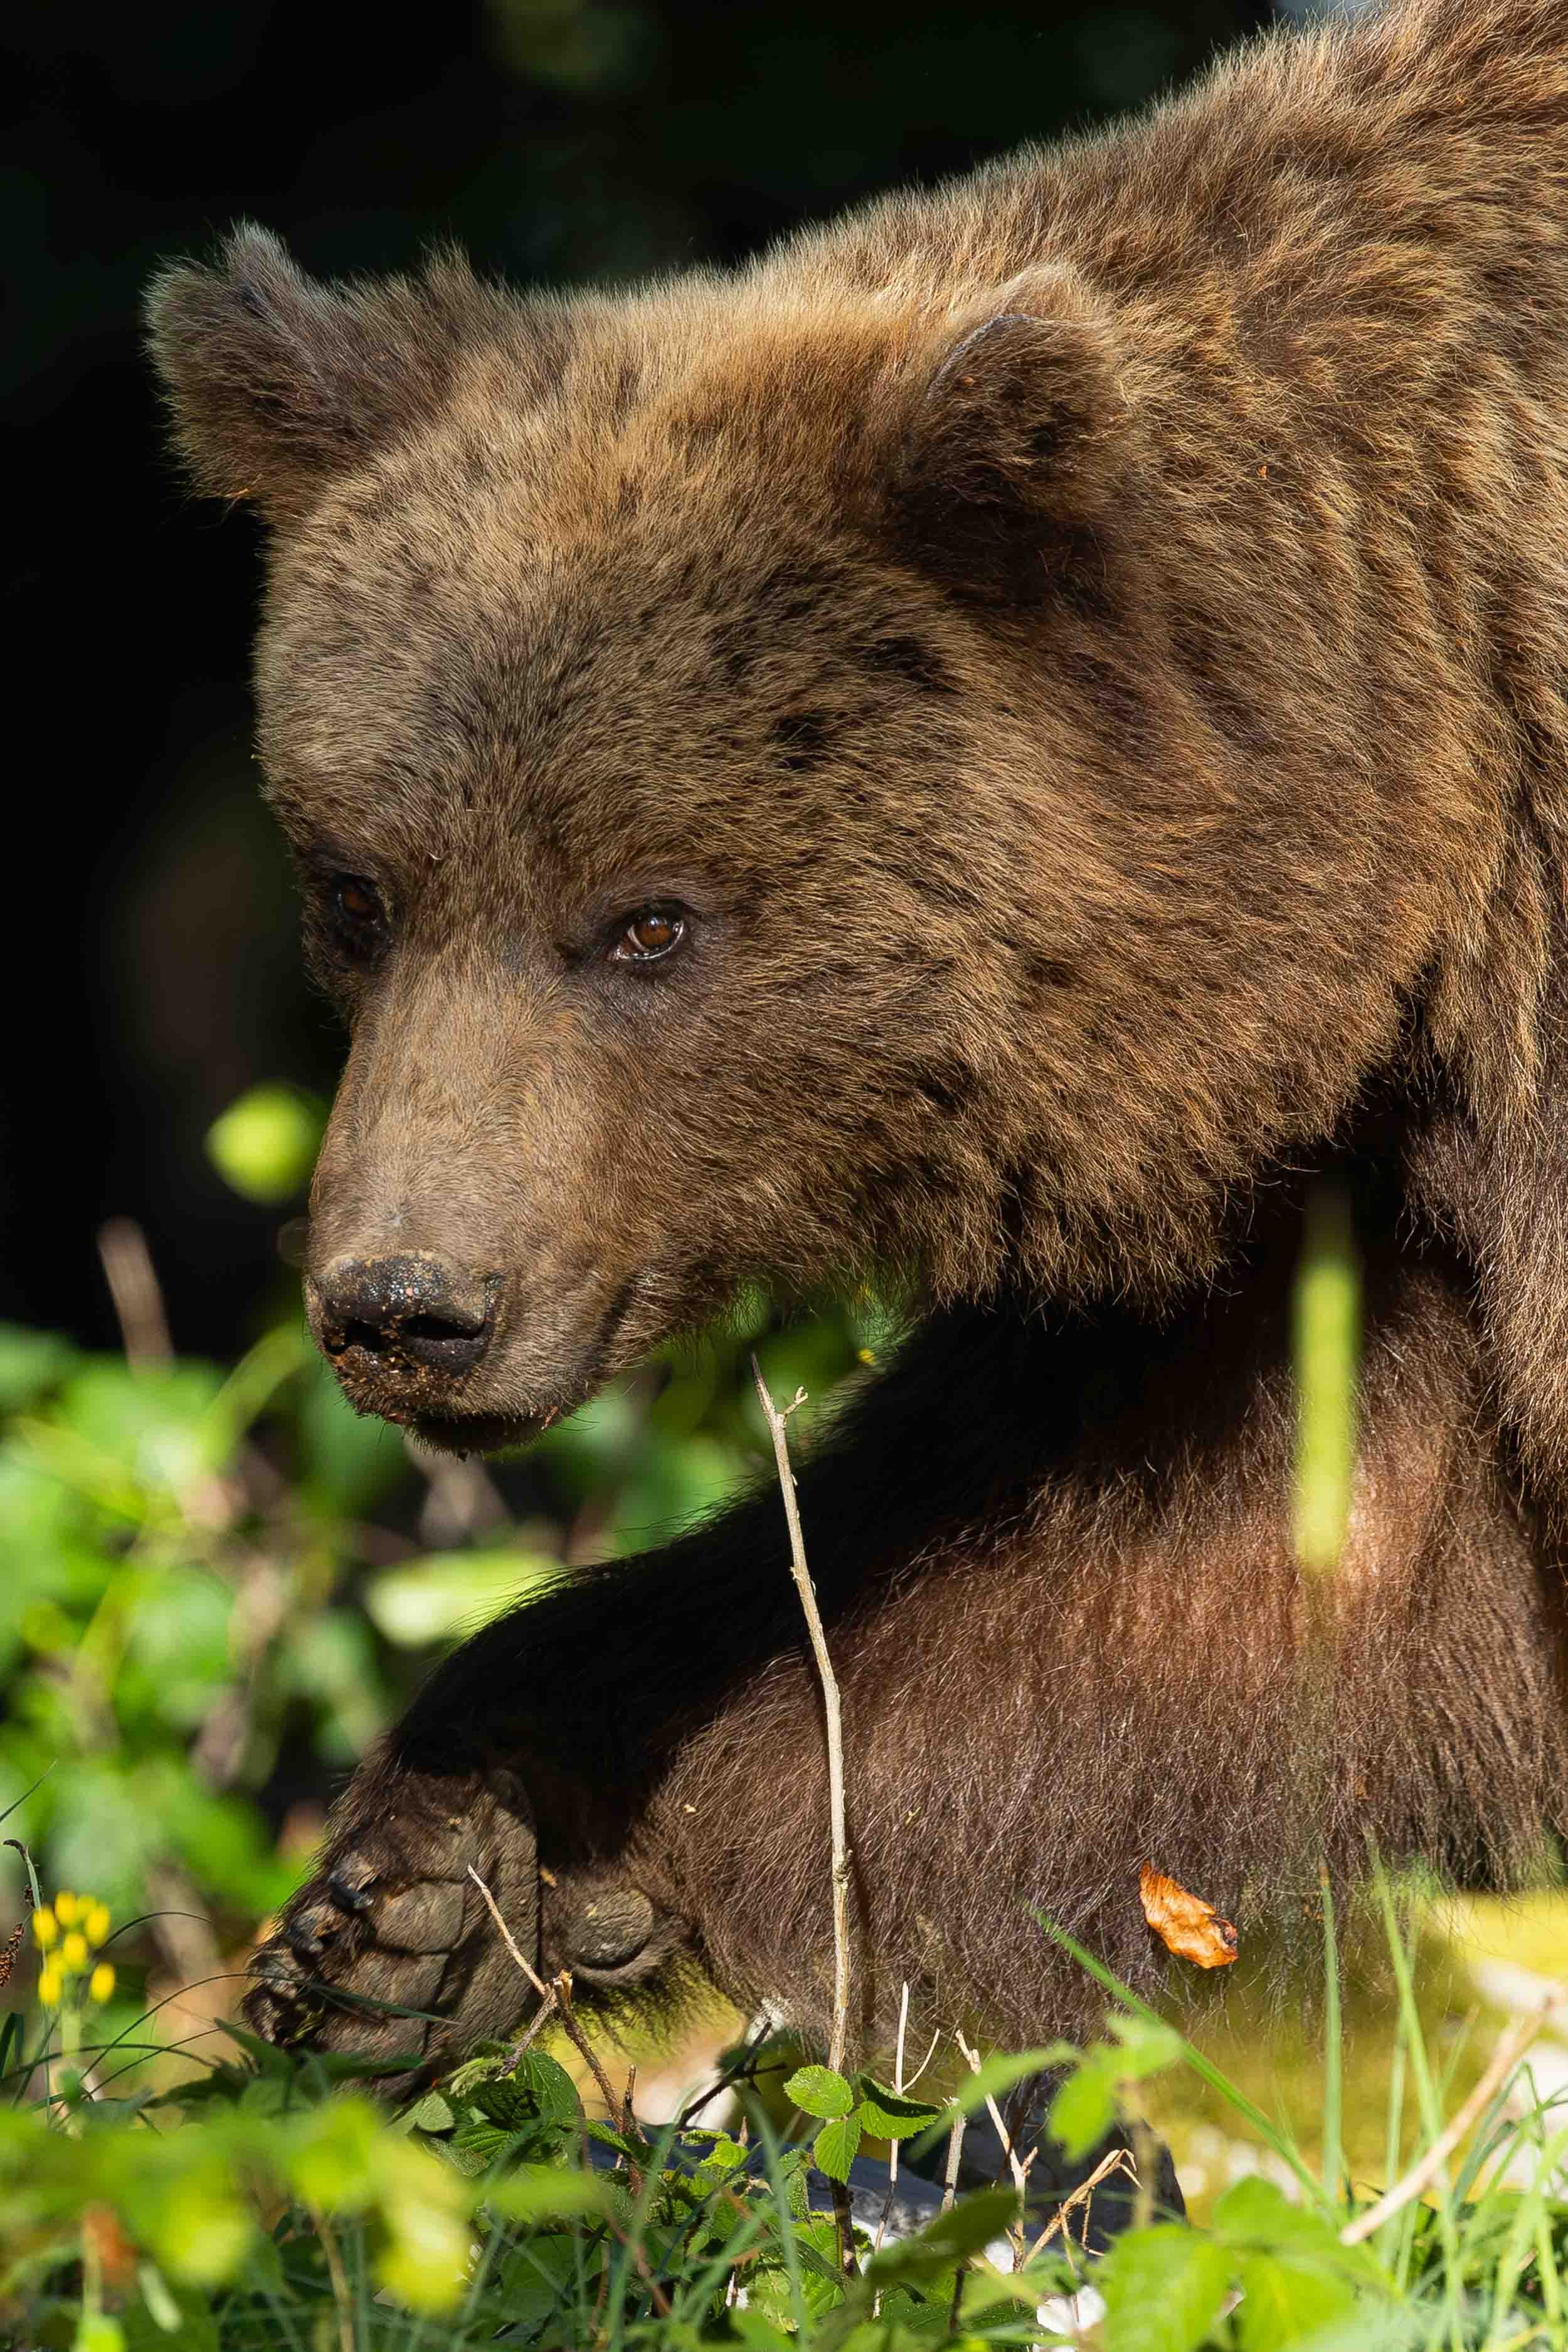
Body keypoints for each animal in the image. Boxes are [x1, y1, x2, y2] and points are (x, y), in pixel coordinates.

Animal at [147, 0, 1568, 2089]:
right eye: (359, 886)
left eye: (649, 915)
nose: (405, 1304)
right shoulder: (1347, 1152)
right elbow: (1172, 1609)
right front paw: (433, 1881)